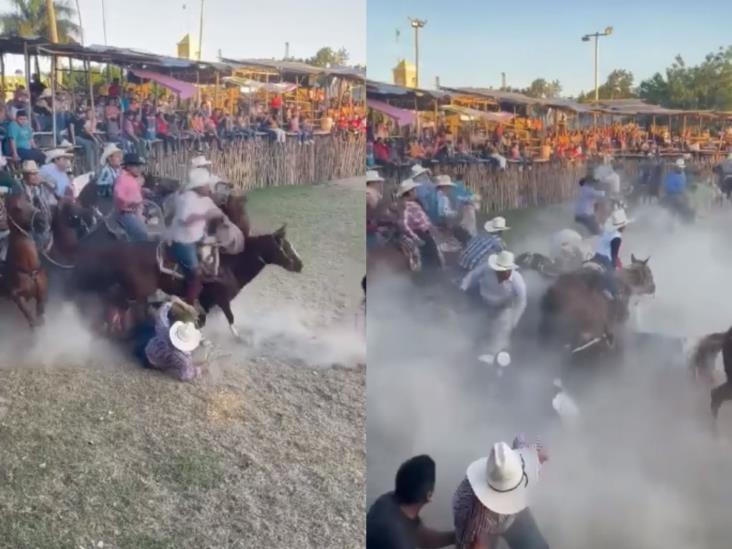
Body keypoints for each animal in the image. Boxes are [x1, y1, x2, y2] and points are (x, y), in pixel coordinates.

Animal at [1, 194, 48, 326]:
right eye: (16, 208)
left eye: (29, 199)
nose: (41, 220)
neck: (29, 269)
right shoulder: (16, 295)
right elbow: (29, 316)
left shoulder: (41, 290)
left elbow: (40, 310)